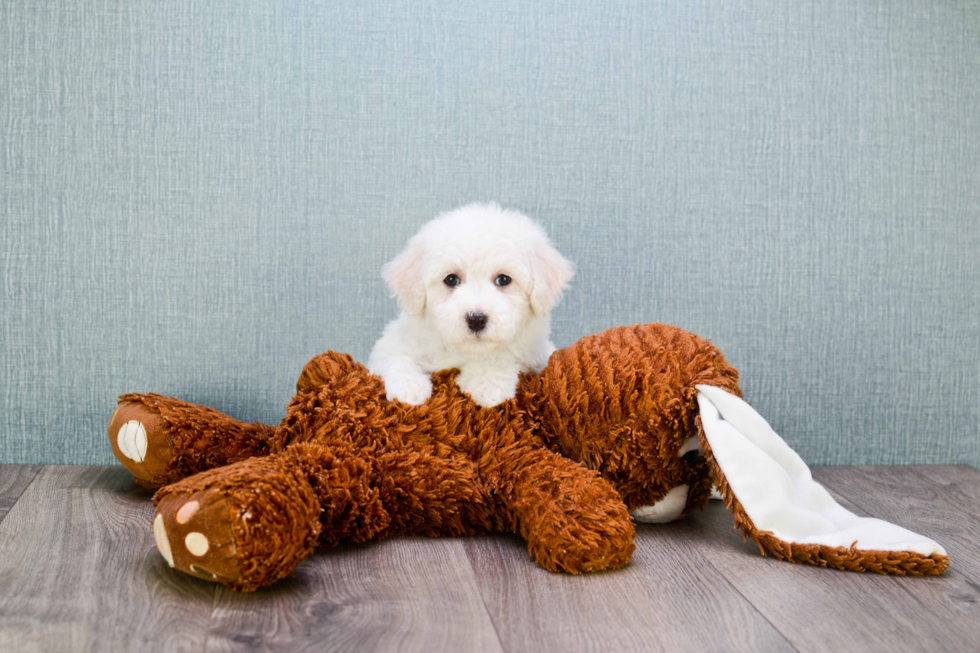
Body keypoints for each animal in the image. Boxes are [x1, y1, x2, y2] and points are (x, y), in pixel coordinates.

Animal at [374, 202, 576, 408]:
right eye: (451, 279)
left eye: (504, 279)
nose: (476, 319)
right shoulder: (390, 345)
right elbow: (396, 357)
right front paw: (409, 389)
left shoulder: (536, 353)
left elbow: (504, 354)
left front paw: (487, 385)